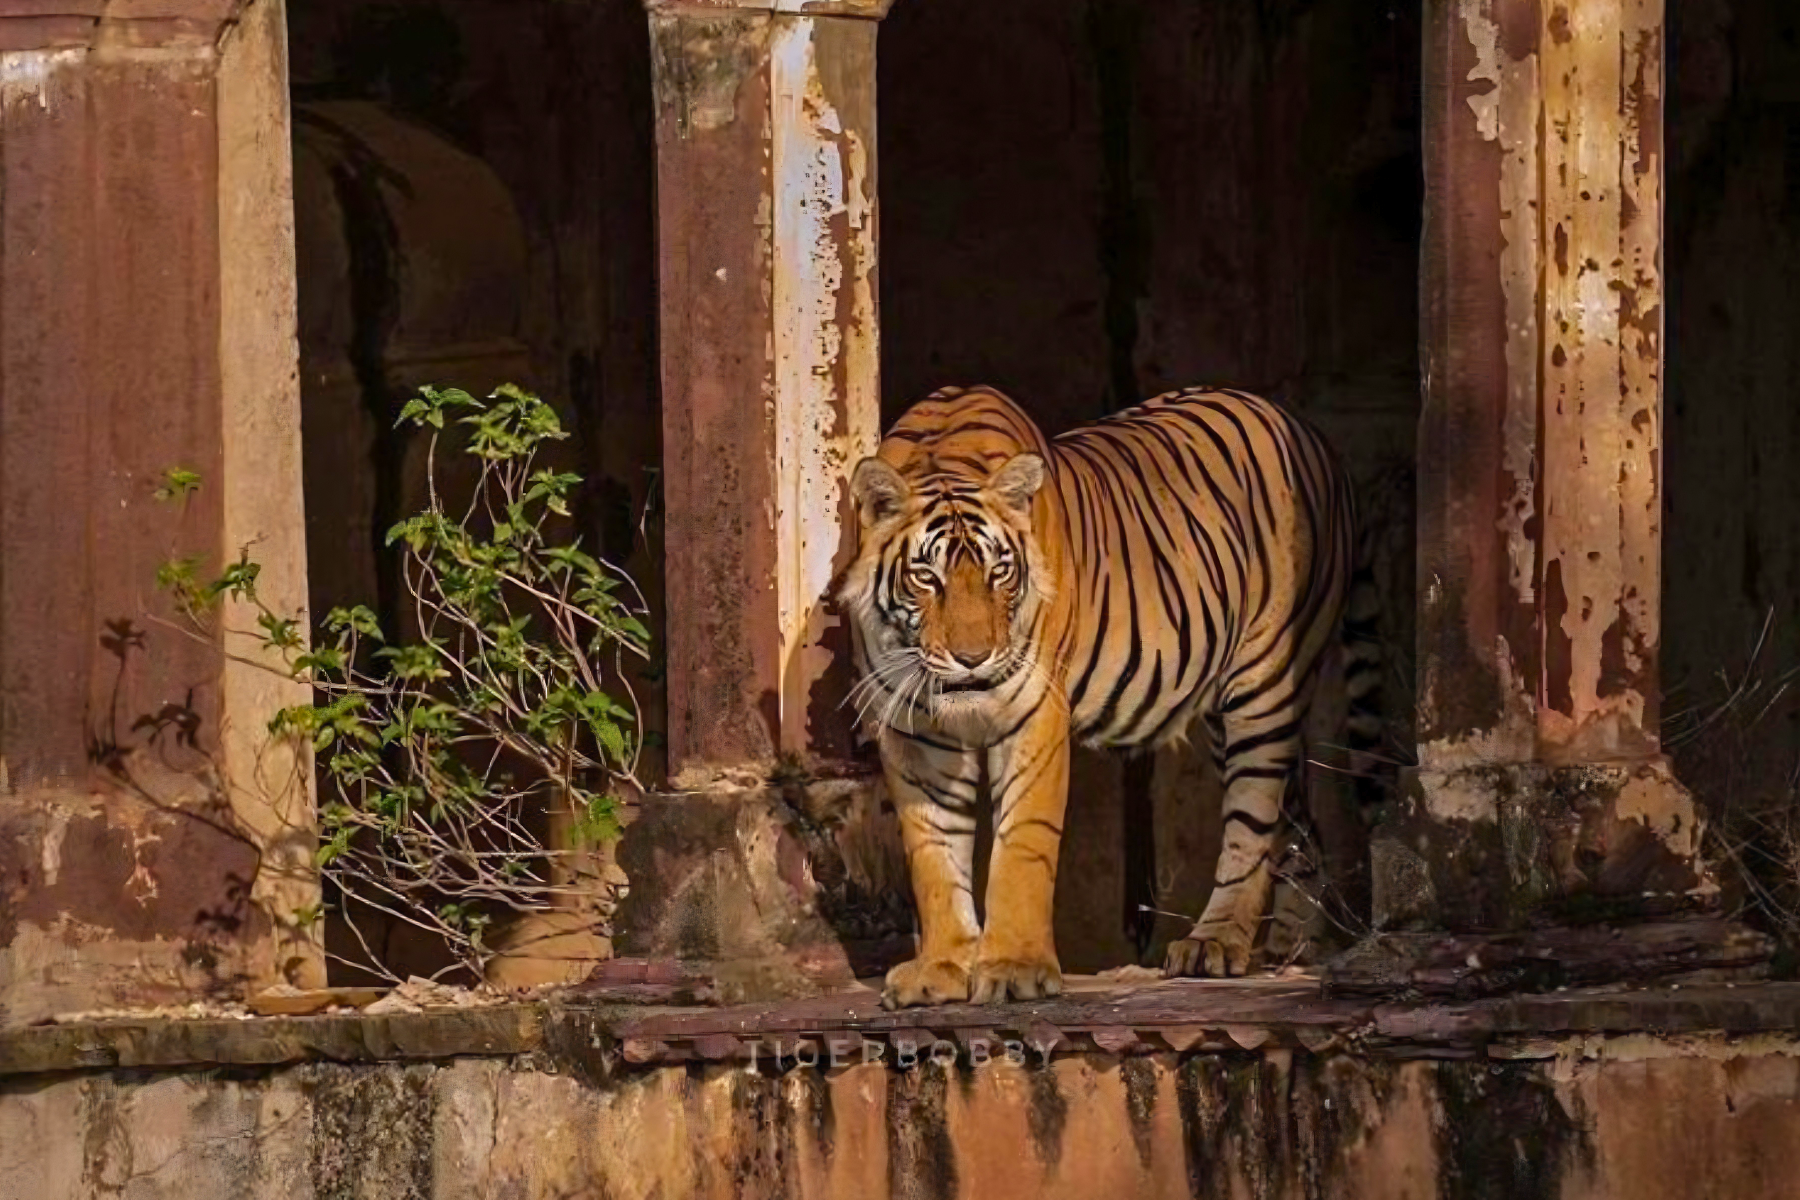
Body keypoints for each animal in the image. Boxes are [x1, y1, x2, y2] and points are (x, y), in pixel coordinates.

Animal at [838, 384, 1382, 1009]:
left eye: (1000, 572)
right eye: (927, 578)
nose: (974, 659)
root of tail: (1313, 434)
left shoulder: (1034, 713)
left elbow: (1023, 847)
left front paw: (1015, 969)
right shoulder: (909, 730)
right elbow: (932, 852)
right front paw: (942, 967)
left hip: (1263, 684)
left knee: (1253, 818)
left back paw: (1217, 943)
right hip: (1229, 717)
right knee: (1294, 821)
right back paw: (1289, 949)